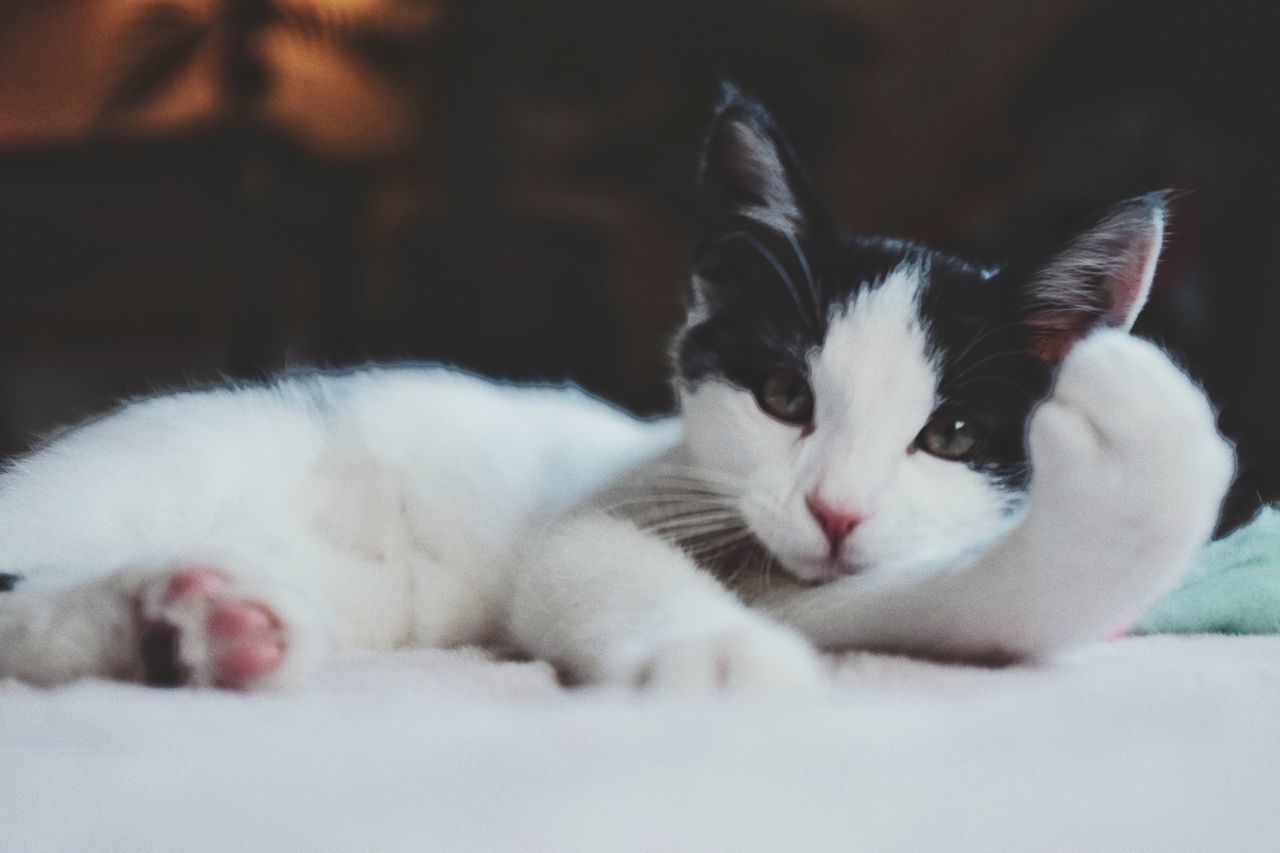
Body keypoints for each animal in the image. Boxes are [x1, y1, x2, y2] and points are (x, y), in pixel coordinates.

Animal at [0, 87, 1228, 691]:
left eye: (954, 434)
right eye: (785, 397)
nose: (834, 511)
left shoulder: (852, 583)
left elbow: (974, 601)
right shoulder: (607, 519)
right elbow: (601, 565)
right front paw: (713, 654)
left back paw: (192, 626)